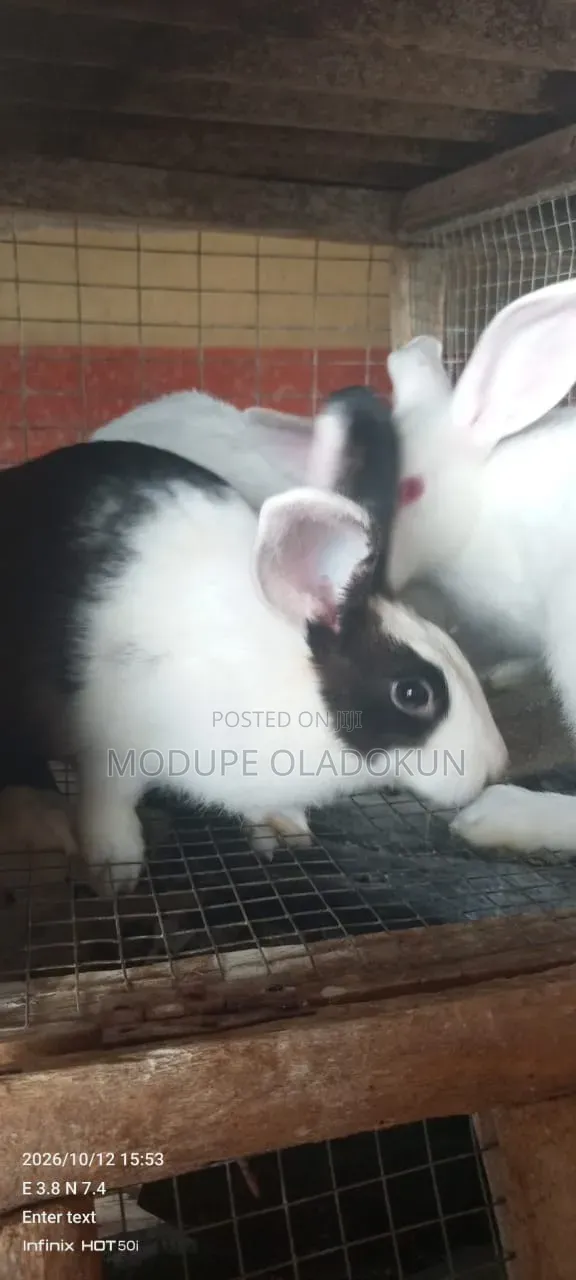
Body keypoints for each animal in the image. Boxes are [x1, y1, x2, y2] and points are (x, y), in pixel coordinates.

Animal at [0, 386, 506, 895]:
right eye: (413, 693)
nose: (494, 768)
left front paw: (285, 828)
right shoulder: (110, 748)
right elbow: (109, 804)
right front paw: (113, 869)